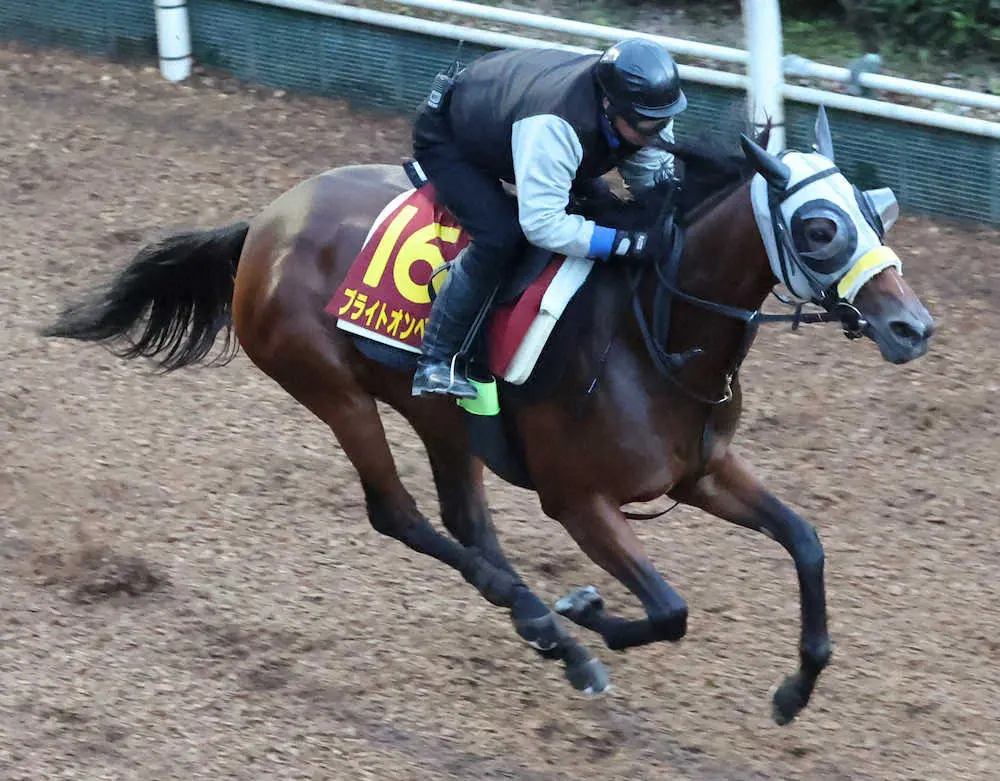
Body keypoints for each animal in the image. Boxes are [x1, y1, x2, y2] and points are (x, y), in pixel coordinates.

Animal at [41, 105, 936, 724]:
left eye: (876, 208)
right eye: (818, 227)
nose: (912, 327)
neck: (655, 336)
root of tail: (266, 220)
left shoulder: (702, 469)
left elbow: (806, 541)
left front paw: (795, 688)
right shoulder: (578, 500)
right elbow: (670, 610)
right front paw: (589, 614)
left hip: (438, 414)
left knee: (465, 520)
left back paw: (544, 628)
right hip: (334, 391)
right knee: (399, 514)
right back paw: (551, 625)